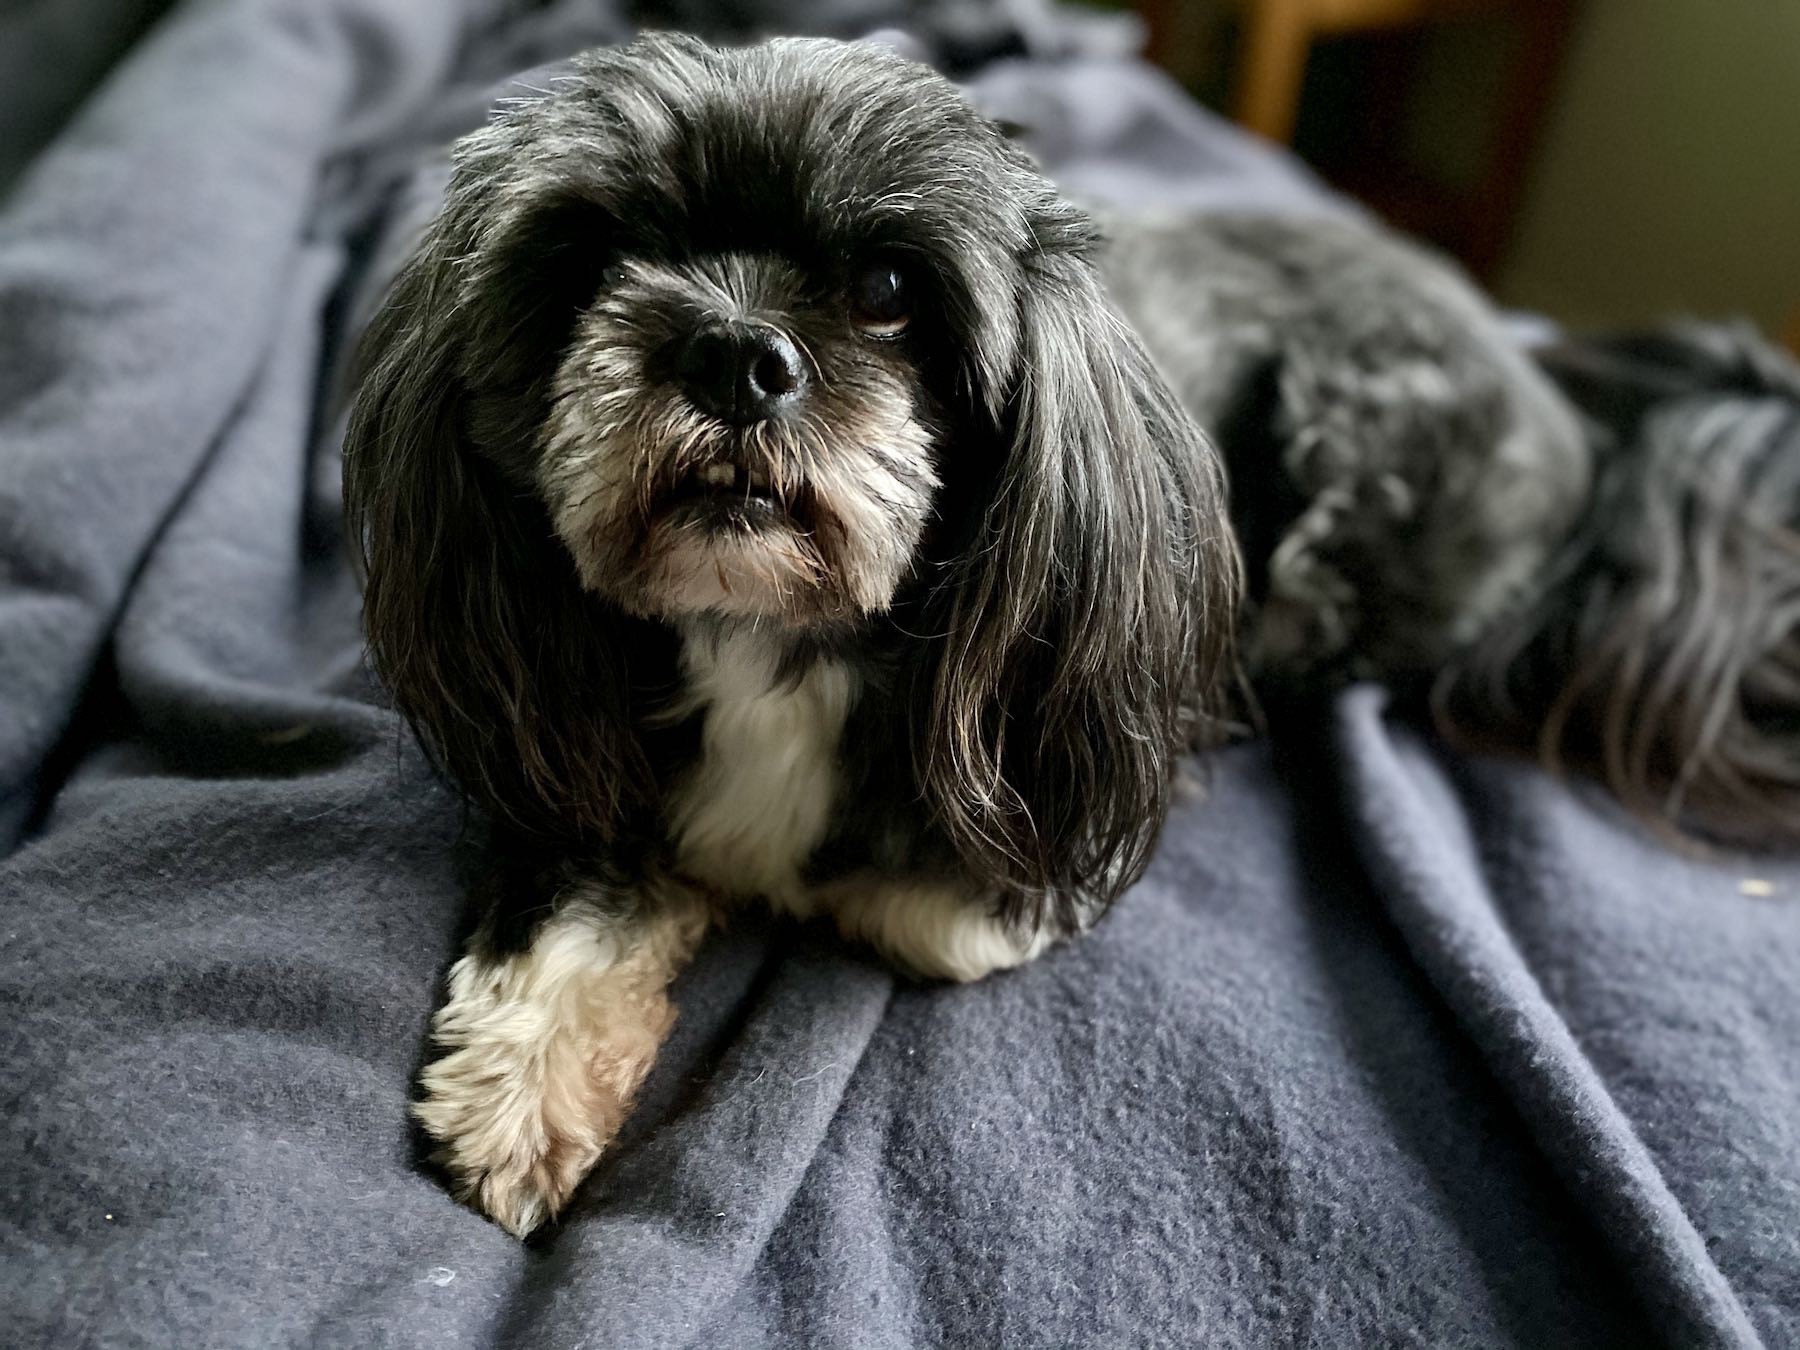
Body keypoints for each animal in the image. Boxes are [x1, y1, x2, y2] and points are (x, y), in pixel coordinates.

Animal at [343, 31, 1800, 1238]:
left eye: (887, 288)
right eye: (597, 263)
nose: (736, 352)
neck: (771, 634)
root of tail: (1542, 365)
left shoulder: (1046, 799)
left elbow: (909, 904)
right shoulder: (576, 732)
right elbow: (580, 897)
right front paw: (521, 1089)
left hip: (1350, 523)